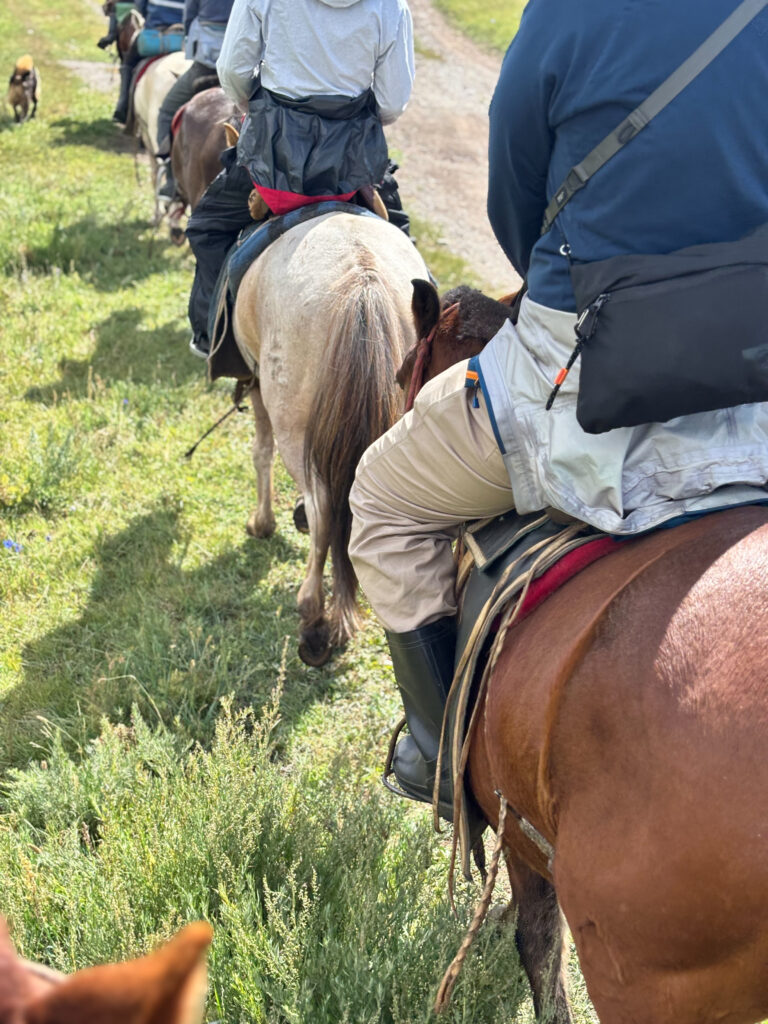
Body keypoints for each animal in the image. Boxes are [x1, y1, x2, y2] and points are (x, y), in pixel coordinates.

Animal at [232, 212, 428, 666]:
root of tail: (362, 278)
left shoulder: (257, 384)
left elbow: (261, 452)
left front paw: (263, 523)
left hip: (289, 412)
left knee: (323, 511)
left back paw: (315, 622)